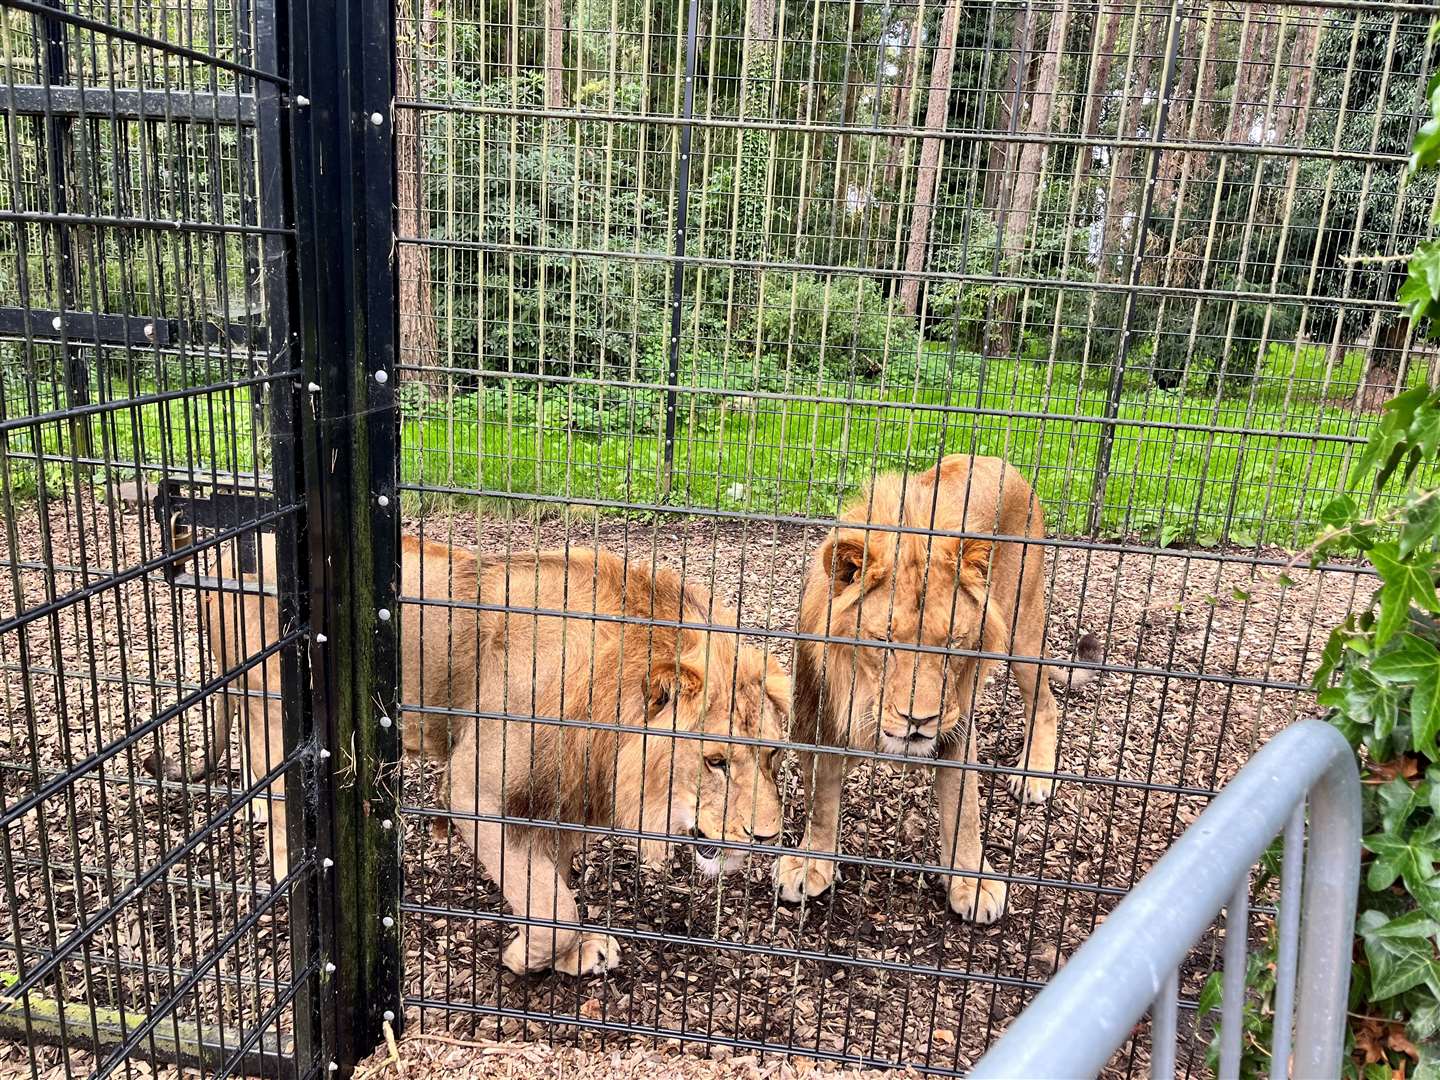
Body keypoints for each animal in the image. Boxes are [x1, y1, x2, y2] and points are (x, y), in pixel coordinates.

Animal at [154, 529, 789, 979]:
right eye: (715, 762)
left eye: (773, 758)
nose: (766, 838)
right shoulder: (473, 789)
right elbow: (553, 905)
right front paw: (528, 957)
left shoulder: (558, 795)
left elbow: (549, 883)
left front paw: (572, 955)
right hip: (271, 701)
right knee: (278, 792)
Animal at [777, 452, 1088, 927]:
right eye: (883, 641)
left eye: (953, 643)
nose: (919, 720)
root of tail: (997, 459)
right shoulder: (818, 716)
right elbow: (821, 797)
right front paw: (812, 862)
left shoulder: (957, 725)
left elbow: (964, 811)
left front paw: (973, 883)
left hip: (1022, 628)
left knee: (1045, 702)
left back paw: (1033, 773)